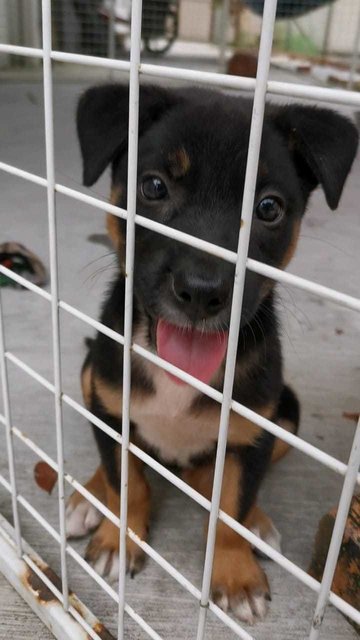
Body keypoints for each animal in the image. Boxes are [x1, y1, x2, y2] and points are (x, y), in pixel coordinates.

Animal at [66, 84, 358, 620]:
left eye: (269, 208)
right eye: (153, 187)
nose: (202, 292)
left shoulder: (253, 429)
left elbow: (231, 506)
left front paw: (236, 575)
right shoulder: (110, 402)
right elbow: (126, 483)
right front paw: (119, 540)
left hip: (286, 411)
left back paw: (247, 514)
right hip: (90, 378)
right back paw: (88, 497)